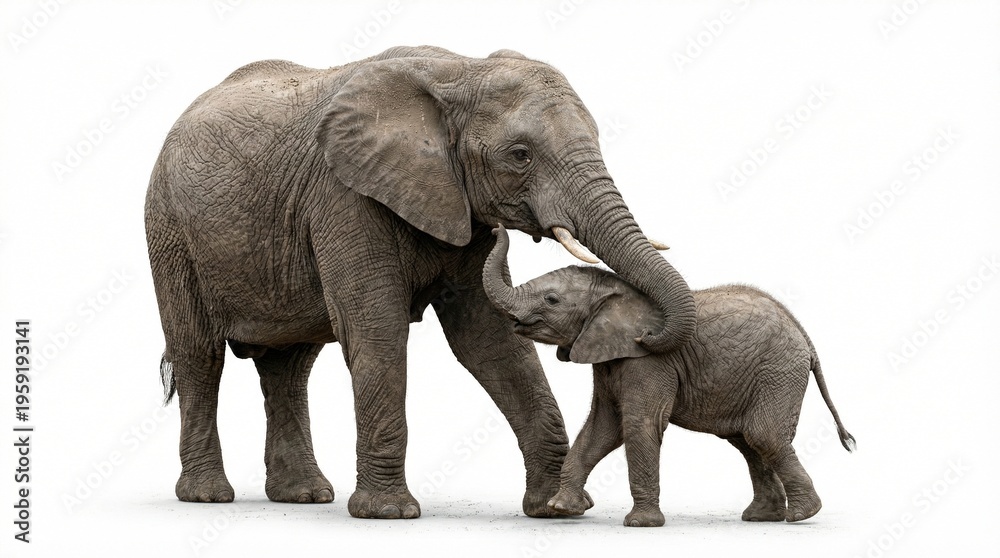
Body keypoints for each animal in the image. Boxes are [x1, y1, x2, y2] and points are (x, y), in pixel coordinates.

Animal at [144, 45, 697, 519]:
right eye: (520, 155)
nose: (648, 334)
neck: (460, 71)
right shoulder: (345, 195)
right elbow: (377, 330)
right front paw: (388, 514)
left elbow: (490, 342)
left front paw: (555, 510)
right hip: (170, 231)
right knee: (199, 354)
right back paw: (208, 497)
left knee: (289, 366)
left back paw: (304, 496)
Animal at [482, 225, 856, 527]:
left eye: (552, 299)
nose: (496, 228)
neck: (617, 291)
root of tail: (805, 337)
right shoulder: (607, 357)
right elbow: (603, 427)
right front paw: (561, 508)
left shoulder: (649, 361)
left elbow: (638, 424)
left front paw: (640, 524)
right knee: (748, 440)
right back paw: (762, 517)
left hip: (778, 371)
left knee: (762, 434)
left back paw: (802, 515)